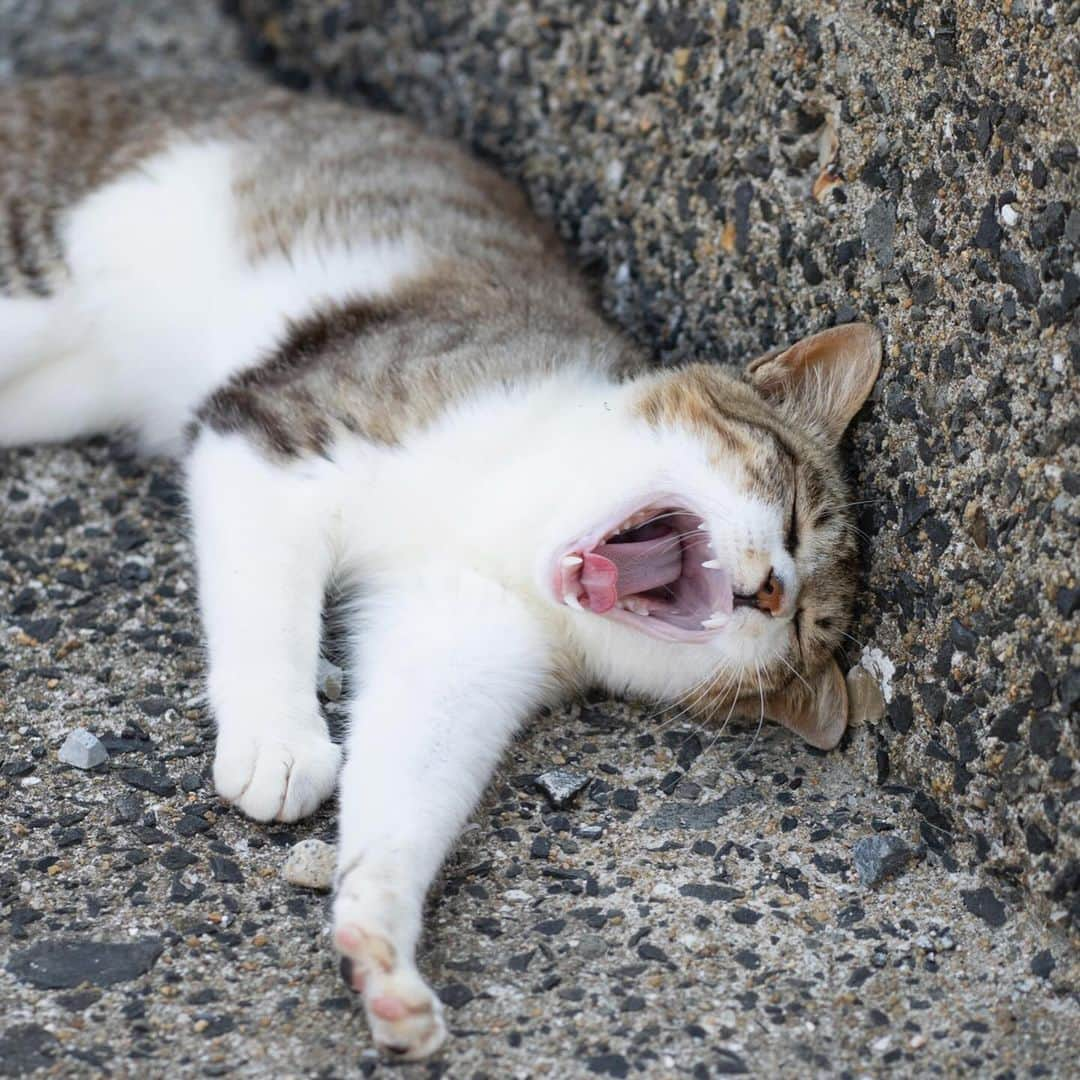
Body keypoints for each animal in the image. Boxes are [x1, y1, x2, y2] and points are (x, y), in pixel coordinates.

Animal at [0, 78, 876, 1062]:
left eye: (799, 635)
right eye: (796, 509)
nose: (773, 591)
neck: (510, 516)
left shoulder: (466, 632)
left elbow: (414, 776)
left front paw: (380, 945)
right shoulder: (281, 432)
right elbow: (267, 607)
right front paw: (279, 739)